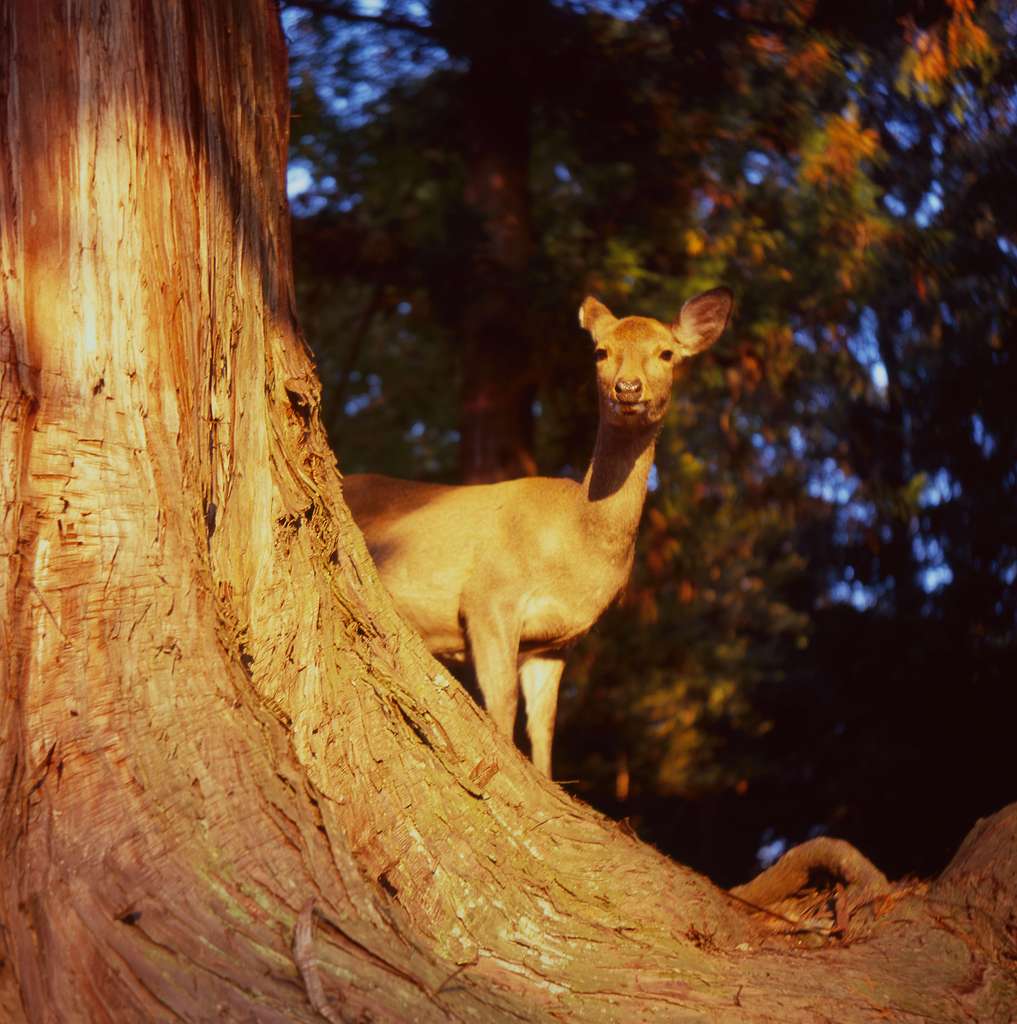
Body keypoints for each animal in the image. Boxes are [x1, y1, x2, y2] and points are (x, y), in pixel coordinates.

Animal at [342, 286, 729, 774]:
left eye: (667, 353)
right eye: (601, 351)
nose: (627, 388)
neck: (577, 541)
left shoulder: (553, 643)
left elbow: (543, 729)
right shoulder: (489, 597)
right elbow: (502, 710)